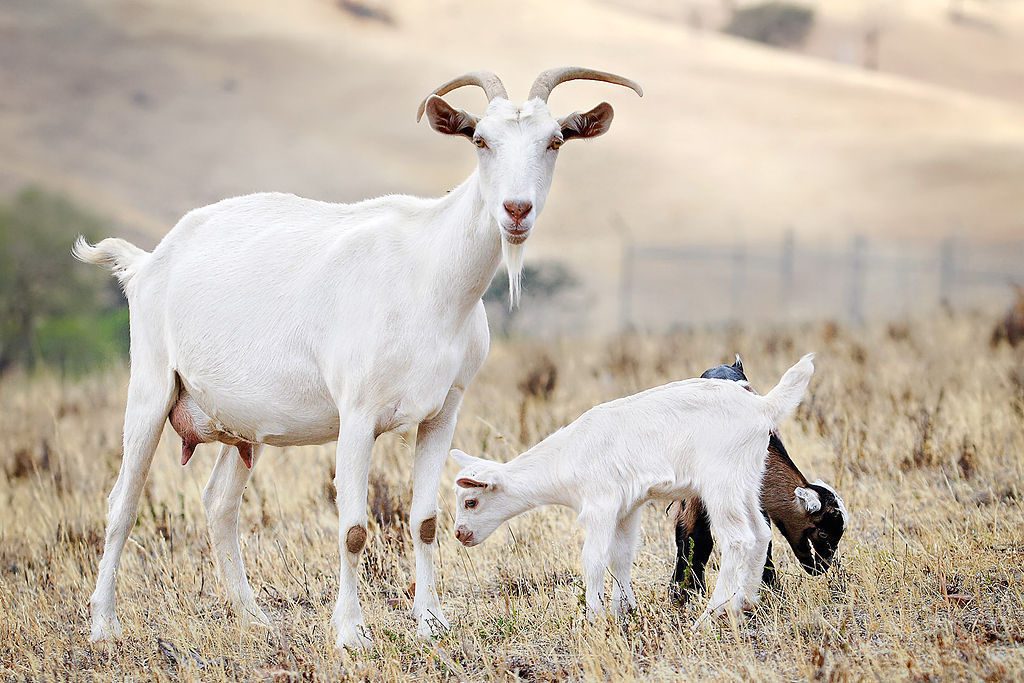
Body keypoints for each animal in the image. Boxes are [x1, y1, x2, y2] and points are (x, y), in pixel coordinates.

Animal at [72, 66, 638, 651]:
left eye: (554, 142)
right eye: (480, 140)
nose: (516, 210)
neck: (429, 275)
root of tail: (147, 263)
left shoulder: (444, 411)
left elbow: (424, 520)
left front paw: (431, 622)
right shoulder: (358, 414)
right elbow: (353, 528)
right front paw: (350, 633)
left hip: (245, 425)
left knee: (218, 504)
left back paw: (253, 618)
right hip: (152, 386)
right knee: (122, 503)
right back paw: (104, 626)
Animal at [452, 352, 819, 626]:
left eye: (470, 501)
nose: (459, 534)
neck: (566, 458)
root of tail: (762, 407)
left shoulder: (599, 505)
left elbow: (594, 558)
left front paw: (594, 616)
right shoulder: (627, 509)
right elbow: (622, 556)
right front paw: (623, 609)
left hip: (721, 483)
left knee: (738, 539)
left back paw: (712, 615)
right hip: (746, 479)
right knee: (760, 533)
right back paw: (747, 602)